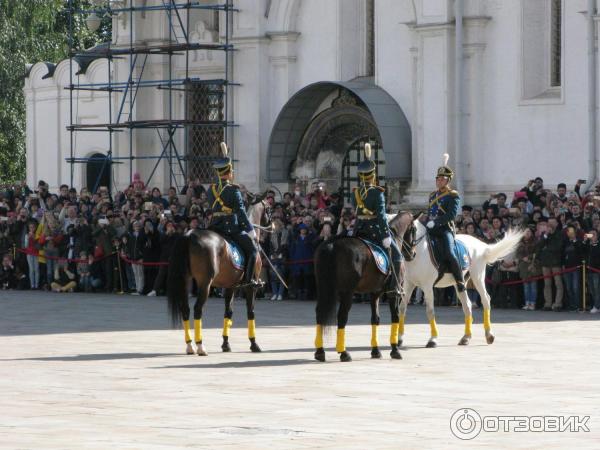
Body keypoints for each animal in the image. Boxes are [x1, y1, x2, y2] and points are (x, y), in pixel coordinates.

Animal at [169, 193, 272, 356]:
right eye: (268, 208)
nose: (271, 224)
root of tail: (189, 234)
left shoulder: (230, 286)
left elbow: (228, 313)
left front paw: (225, 344)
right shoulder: (251, 287)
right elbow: (251, 312)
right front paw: (254, 343)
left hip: (185, 281)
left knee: (185, 309)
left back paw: (190, 346)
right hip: (205, 284)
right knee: (198, 309)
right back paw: (200, 346)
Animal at [314, 213, 412, 364]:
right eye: (413, 230)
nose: (413, 254)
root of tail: (332, 244)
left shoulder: (375, 293)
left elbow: (375, 319)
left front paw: (376, 351)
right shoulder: (394, 293)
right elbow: (395, 317)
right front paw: (395, 350)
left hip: (324, 289)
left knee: (320, 314)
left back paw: (320, 352)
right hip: (347, 293)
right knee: (342, 317)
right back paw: (344, 353)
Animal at [392, 213, 524, 346]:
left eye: (412, 229)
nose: (410, 254)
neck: (420, 251)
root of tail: (482, 246)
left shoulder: (427, 286)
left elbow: (430, 311)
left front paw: (433, 339)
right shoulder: (408, 284)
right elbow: (402, 308)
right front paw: (400, 338)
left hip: (477, 276)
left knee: (486, 299)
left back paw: (489, 335)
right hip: (460, 281)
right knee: (467, 305)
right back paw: (466, 337)